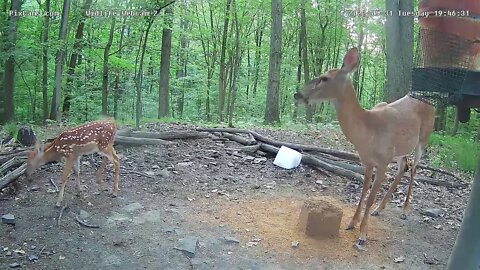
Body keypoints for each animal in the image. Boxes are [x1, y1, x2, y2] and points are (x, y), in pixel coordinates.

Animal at [294, 47, 436, 246]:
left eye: (324, 78)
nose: (297, 95)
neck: (367, 132)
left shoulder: (383, 161)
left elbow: (369, 197)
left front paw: (362, 235)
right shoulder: (367, 161)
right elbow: (362, 193)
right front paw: (352, 223)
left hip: (423, 139)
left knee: (414, 168)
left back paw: (404, 210)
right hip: (401, 148)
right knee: (404, 166)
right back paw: (380, 209)